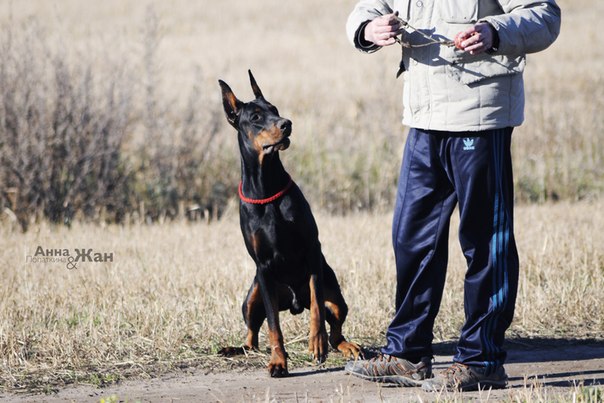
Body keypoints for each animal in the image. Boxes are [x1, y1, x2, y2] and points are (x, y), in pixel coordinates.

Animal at [217, 71, 358, 378]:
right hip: (252, 296)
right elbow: (273, 326)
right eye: (256, 117)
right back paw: (235, 348)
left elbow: (317, 306)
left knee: (335, 330)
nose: (287, 124)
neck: (266, 187)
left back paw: (347, 346)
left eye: (275, 109)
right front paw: (279, 361)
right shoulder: (263, 267)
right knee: (252, 337)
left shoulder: (312, 250)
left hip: (336, 297)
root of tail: (294, 303)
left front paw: (316, 343)